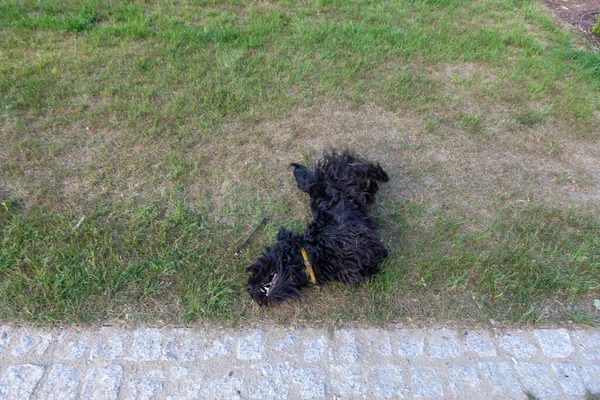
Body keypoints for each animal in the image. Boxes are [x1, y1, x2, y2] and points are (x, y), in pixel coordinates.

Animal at [245, 152, 390, 304]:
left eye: (263, 259)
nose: (248, 288)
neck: (313, 253)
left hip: (339, 176)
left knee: (359, 166)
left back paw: (381, 175)